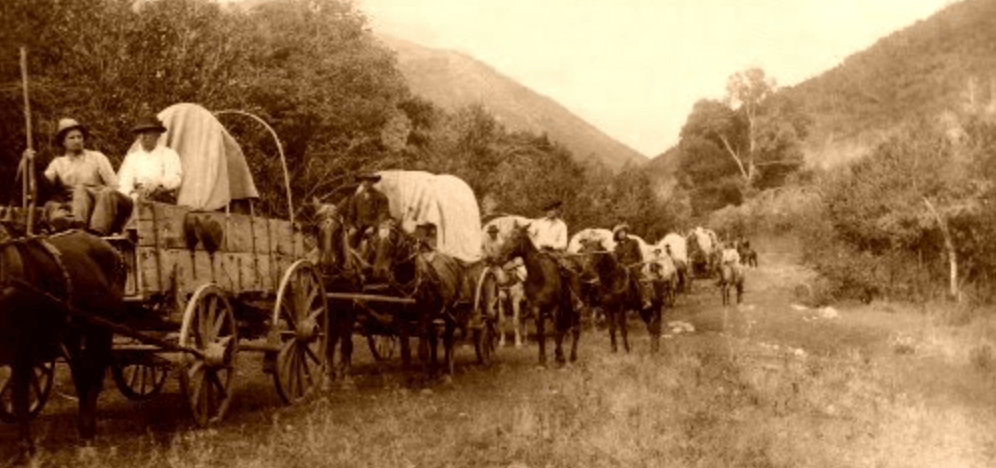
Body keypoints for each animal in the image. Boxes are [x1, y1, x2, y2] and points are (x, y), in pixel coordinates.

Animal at [0, 229, 127, 457]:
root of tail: (111, 248)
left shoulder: (22, 352)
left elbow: (19, 400)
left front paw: (26, 448)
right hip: (71, 335)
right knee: (82, 375)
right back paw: (84, 430)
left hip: (102, 327)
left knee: (94, 376)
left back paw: (88, 433)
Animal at [496, 223, 581, 366]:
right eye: (506, 236)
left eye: (517, 237)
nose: (500, 256)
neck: (540, 278)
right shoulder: (537, 309)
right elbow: (541, 333)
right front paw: (542, 360)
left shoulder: (555, 309)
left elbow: (557, 332)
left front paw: (560, 358)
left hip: (575, 308)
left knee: (575, 330)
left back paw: (573, 357)